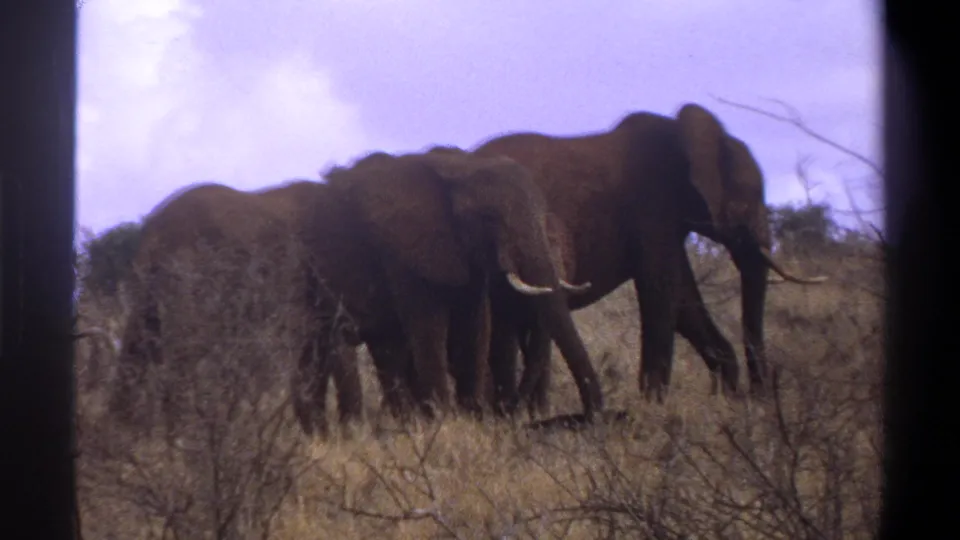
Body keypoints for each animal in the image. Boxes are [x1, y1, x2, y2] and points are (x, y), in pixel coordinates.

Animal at [108, 182, 364, 439]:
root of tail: (154, 232)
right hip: (191, 281)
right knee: (182, 358)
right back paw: (183, 437)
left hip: (149, 292)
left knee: (135, 349)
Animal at [289, 146, 603, 421]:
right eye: (489, 218)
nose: (588, 417)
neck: (458, 170)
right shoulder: (405, 252)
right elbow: (429, 327)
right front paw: (446, 423)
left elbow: (475, 326)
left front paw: (473, 419)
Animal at [471, 102, 827, 403]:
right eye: (747, 200)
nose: (757, 398)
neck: (682, 135)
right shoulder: (653, 211)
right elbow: (662, 292)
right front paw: (653, 407)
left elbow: (683, 300)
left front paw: (726, 400)